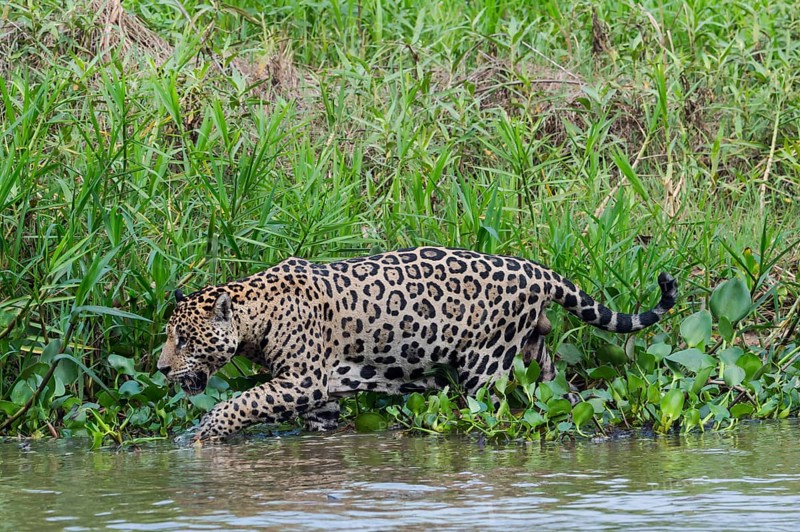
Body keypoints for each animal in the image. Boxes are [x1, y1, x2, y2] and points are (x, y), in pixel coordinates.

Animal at [156, 247, 677, 440]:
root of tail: (537, 269)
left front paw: (201, 434)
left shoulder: (302, 381)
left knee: (490, 414)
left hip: (485, 367)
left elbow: (240, 402)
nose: (160, 369)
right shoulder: (319, 398)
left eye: (184, 338)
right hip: (535, 357)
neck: (253, 316)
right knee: (561, 398)